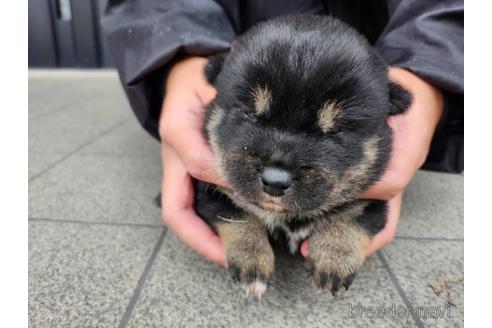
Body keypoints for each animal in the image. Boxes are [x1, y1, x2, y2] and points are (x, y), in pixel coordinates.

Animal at [192, 14, 412, 298]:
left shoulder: (373, 197)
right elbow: (237, 214)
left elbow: (351, 217)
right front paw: (252, 263)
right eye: (250, 113)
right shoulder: (212, 189)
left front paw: (334, 259)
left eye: (335, 130)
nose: (274, 181)